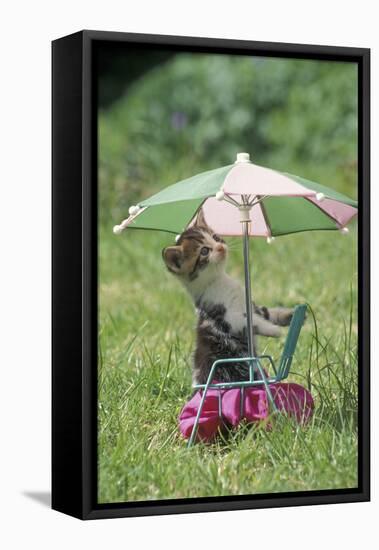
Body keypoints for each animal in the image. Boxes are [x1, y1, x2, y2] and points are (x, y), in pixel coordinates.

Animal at [163, 209, 294, 386]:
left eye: (216, 237)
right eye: (204, 251)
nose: (221, 247)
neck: (219, 281)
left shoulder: (250, 305)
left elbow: (266, 313)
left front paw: (289, 315)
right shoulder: (228, 318)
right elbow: (253, 322)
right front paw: (274, 330)